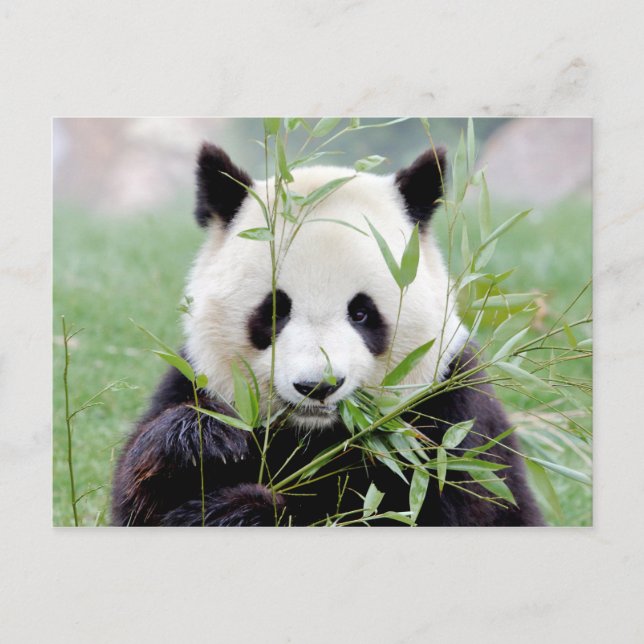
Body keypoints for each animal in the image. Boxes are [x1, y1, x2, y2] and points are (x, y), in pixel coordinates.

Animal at [111, 140, 544, 527]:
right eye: (274, 311)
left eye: (362, 313)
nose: (317, 386)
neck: (313, 433)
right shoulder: (198, 378)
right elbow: (137, 498)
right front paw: (203, 442)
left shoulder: (448, 415)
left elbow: (412, 510)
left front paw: (237, 512)